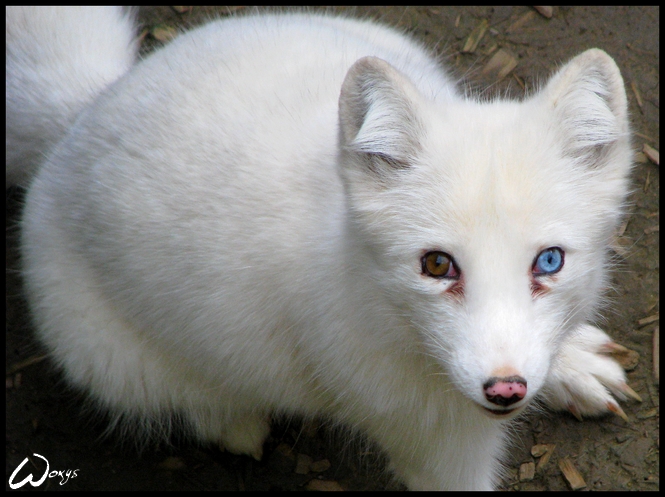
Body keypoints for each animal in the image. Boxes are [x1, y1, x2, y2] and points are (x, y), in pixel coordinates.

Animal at [7, 5, 636, 490]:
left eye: (548, 261)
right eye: (437, 265)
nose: (505, 389)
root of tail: (87, 107)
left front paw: (566, 363)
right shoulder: (434, 444)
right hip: (113, 361)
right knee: (191, 403)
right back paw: (235, 422)